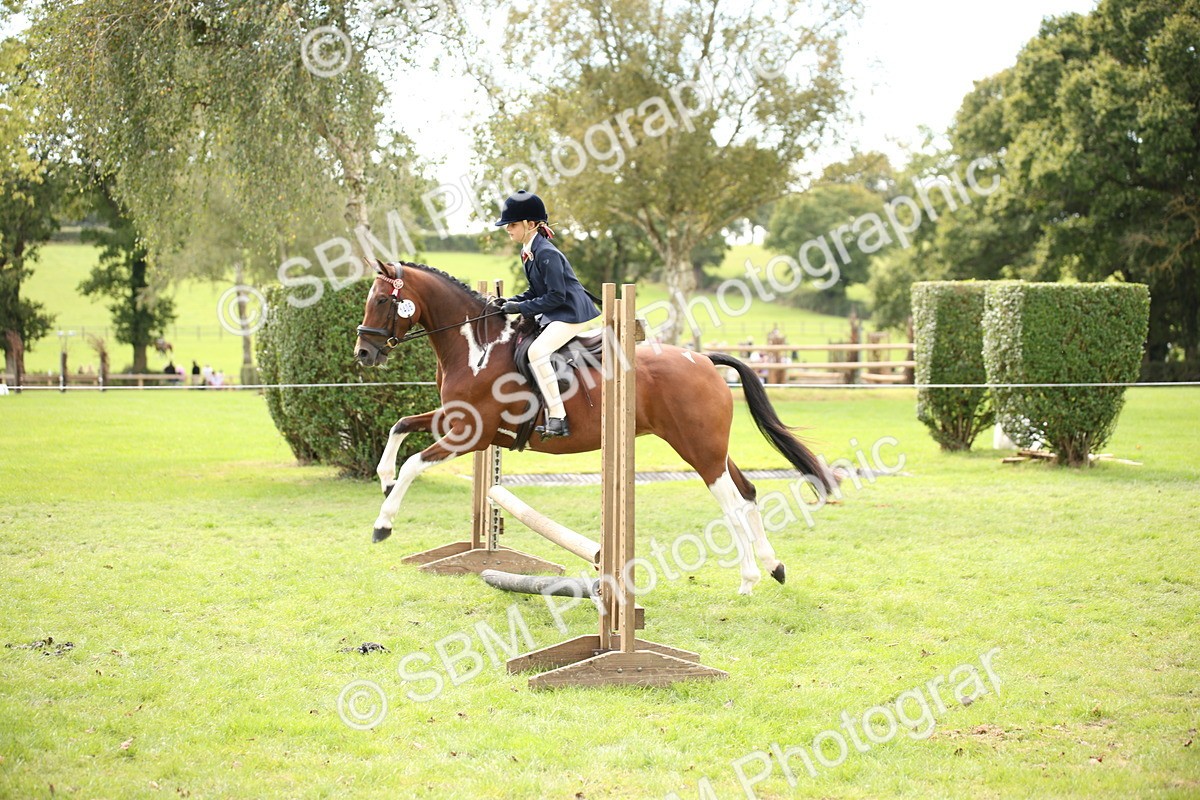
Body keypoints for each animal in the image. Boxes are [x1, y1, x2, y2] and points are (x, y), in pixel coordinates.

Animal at [353, 260, 837, 595]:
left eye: (382, 300)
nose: (363, 353)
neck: (478, 347)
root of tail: (702, 359)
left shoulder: (471, 434)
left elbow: (415, 463)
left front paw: (383, 523)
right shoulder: (457, 422)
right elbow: (400, 427)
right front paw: (383, 477)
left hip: (698, 450)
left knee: (733, 503)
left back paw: (748, 578)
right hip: (709, 447)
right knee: (749, 492)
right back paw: (774, 567)